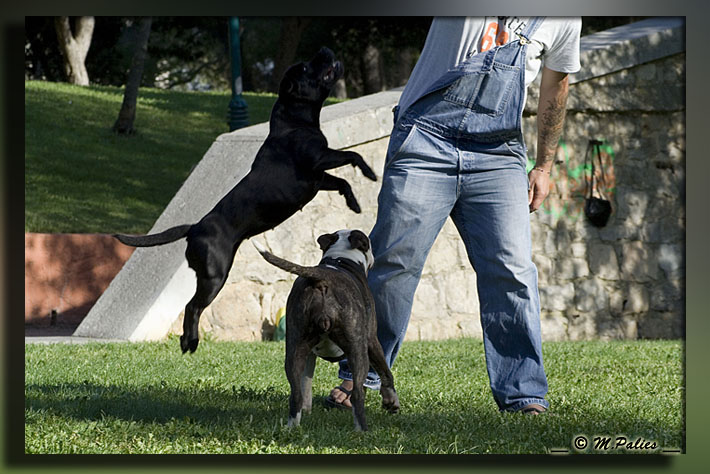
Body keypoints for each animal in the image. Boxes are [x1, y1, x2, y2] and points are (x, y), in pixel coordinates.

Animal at [115, 48, 378, 354]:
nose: (324, 51)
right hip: (215, 276)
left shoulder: (318, 178)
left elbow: (342, 182)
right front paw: (370, 172)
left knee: (192, 307)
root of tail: (195, 228)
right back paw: (190, 342)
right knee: (193, 307)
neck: (295, 119)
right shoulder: (320, 159)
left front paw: (353, 203)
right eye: (305, 67)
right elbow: (352, 155)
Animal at [254, 231, 400, 434]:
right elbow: (385, 371)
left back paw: (293, 426)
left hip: (294, 348)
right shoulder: (372, 340)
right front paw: (391, 401)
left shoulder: (308, 354)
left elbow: (306, 383)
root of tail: (321, 278)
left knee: (296, 394)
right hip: (358, 351)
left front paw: (307, 410)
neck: (341, 257)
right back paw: (362, 431)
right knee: (357, 395)